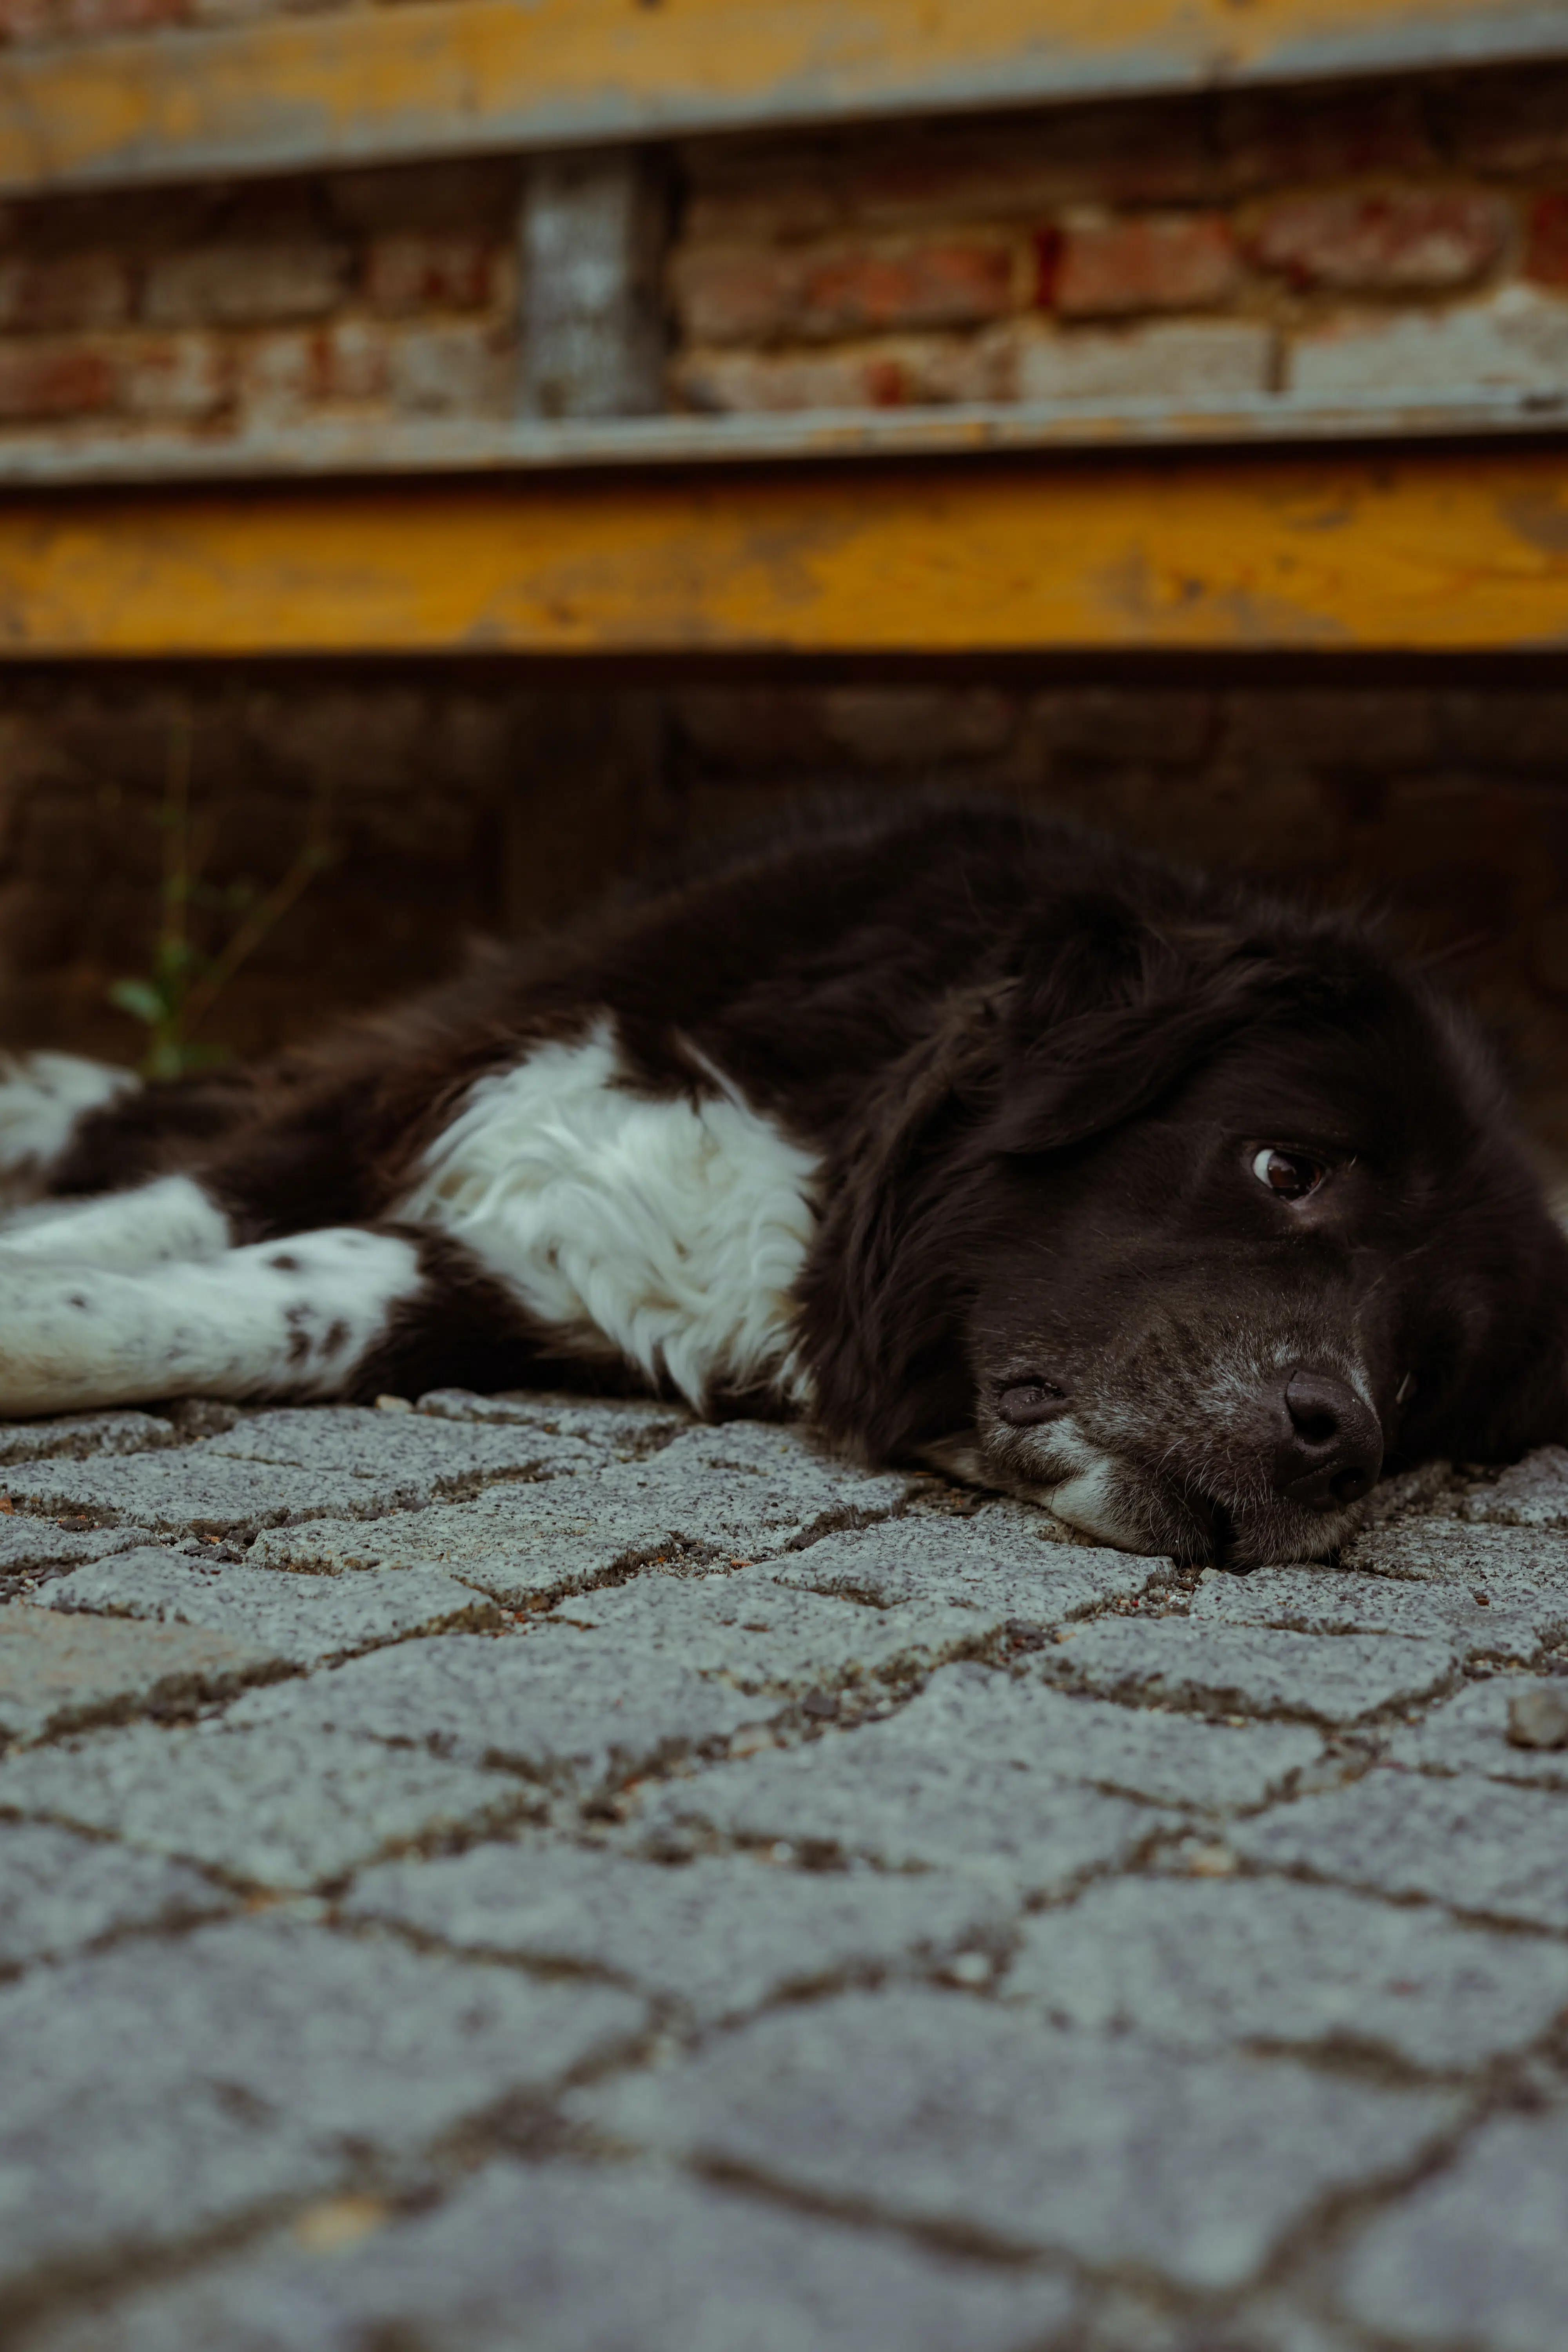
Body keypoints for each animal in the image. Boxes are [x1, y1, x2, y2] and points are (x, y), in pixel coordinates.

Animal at [3, 800, 1568, 1571]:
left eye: (1420, 1375)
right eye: (1284, 1166)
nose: (1336, 1444)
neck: (828, 1148)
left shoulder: (513, 1282)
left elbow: (248, 1305)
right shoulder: (424, 1090)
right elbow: (172, 1208)